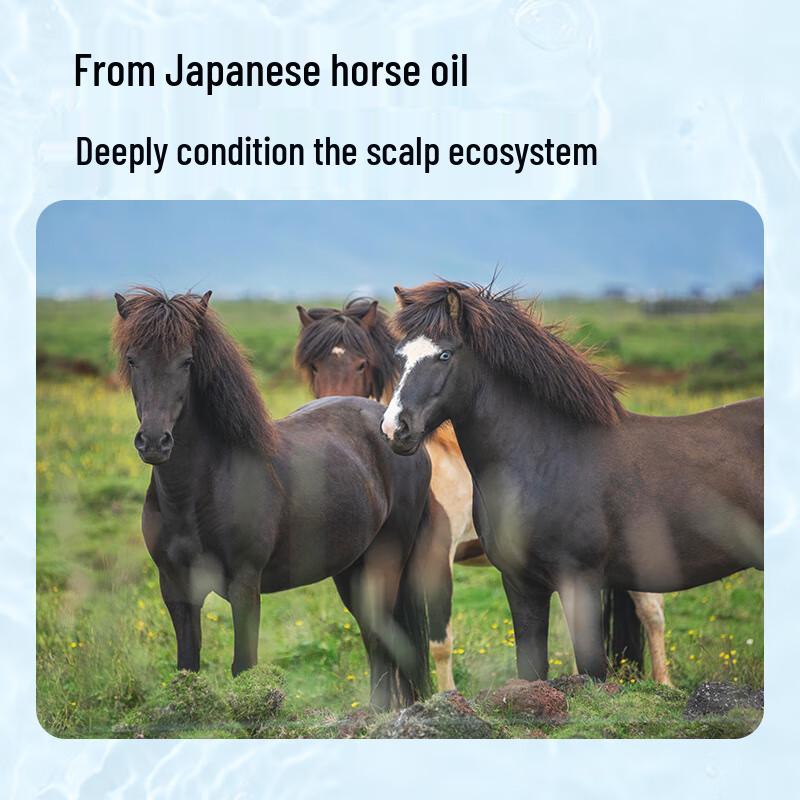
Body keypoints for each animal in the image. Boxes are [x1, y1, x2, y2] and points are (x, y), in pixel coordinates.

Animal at [112, 287, 433, 710]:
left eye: (187, 361)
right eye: (133, 360)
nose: (153, 442)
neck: (195, 495)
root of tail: (394, 430)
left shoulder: (245, 586)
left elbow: (243, 668)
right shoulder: (177, 588)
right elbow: (187, 669)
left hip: (386, 559)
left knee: (384, 637)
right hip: (350, 568)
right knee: (375, 635)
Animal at [296, 298, 673, 685]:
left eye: (362, 363)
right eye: (314, 366)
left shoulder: (436, 556)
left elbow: (440, 643)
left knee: (651, 610)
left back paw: (664, 683)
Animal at [381, 281, 763, 682]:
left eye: (444, 355)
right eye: (399, 356)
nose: (395, 429)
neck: (548, 459)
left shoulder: (580, 582)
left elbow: (592, 669)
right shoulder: (521, 585)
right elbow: (532, 669)